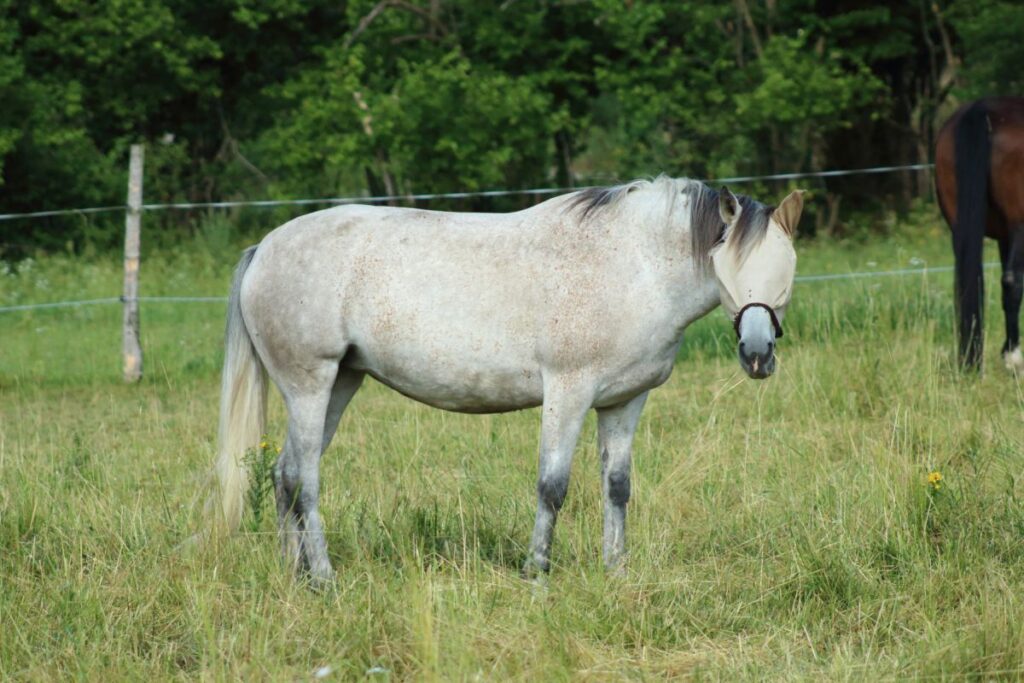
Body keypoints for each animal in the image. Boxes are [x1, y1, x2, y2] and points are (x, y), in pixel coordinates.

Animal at [205, 178, 798, 589]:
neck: (633, 268)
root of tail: (264, 248)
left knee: (284, 475)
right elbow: (552, 486)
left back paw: (294, 575)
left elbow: (617, 487)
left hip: (339, 384)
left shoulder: (625, 402)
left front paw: (617, 571)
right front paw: (537, 572)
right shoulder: (568, 392)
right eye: (728, 268)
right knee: (304, 480)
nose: (757, 354)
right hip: (309, 385)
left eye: (786, 273)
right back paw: (325, 579)